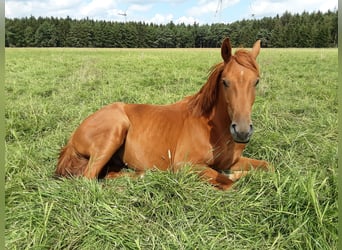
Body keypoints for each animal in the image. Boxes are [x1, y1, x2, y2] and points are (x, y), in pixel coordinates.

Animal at [55, 37, 270, 189]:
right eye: (225, 81)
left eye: (256, 81)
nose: (242, 131)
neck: (213, 128)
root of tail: (73, 138)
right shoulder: (185, 165)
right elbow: (229, 184)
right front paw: (231, 178)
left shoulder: (232, 161)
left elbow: (268, 166)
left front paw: (238, 174)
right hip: (113, 131)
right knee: (89, 179)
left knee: (107, 174)